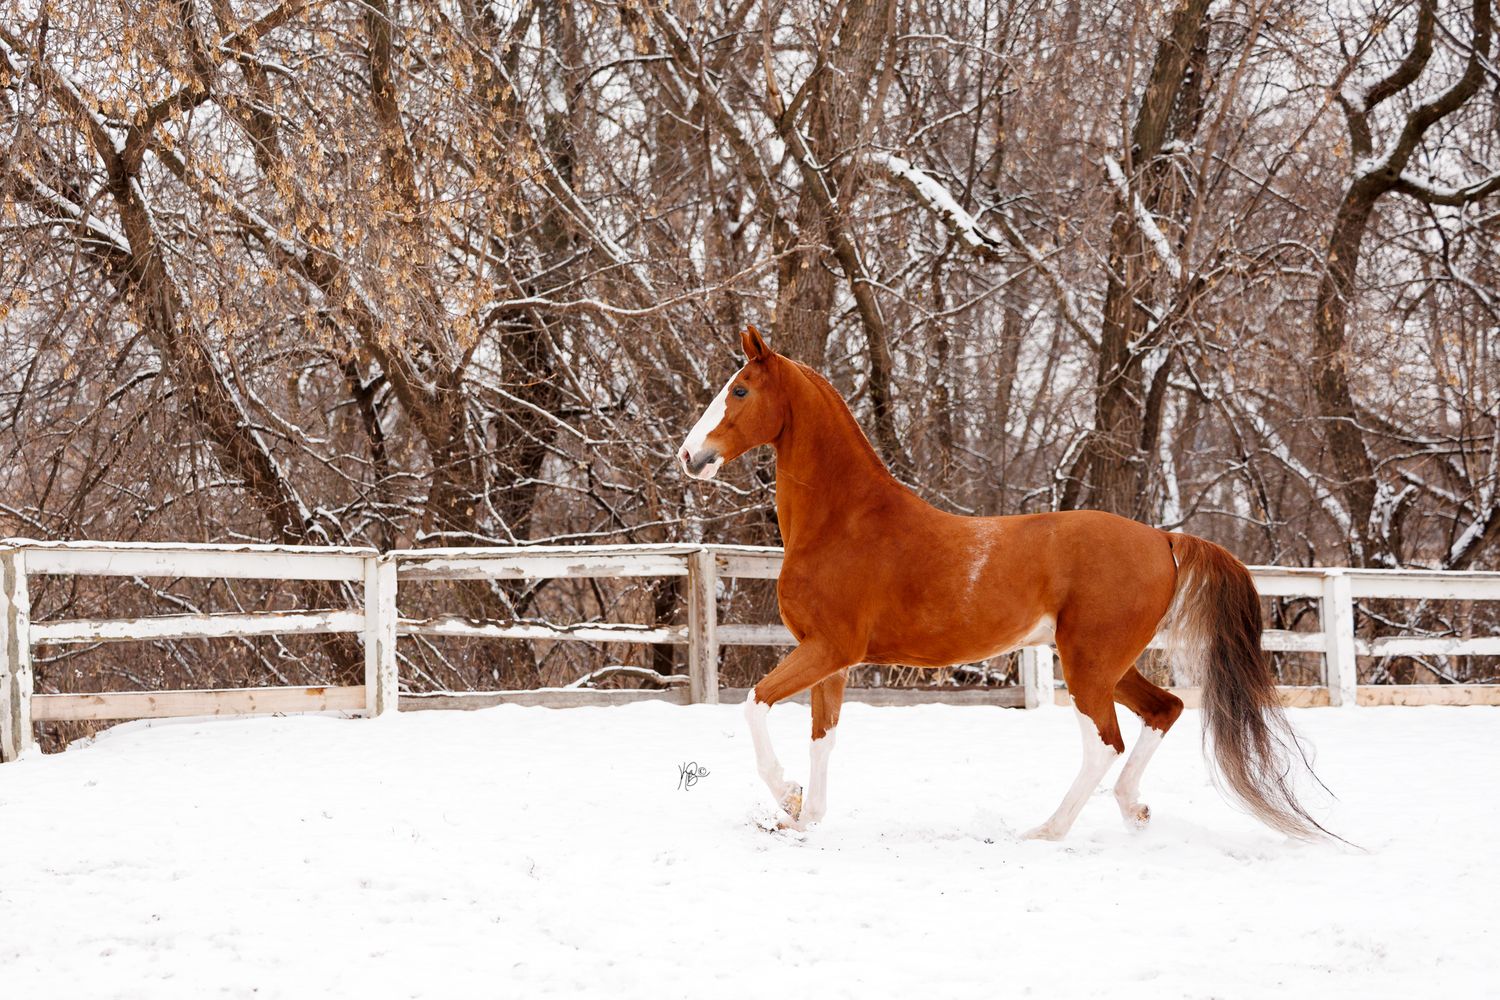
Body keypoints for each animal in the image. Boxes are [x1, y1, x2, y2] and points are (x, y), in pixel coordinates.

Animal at [678, 326, 1333, 841]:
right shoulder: (830, 662)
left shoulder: (828, 649)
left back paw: (1046, 830)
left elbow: (754, 704)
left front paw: (785, 796)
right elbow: (824, 738)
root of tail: (1162, 538)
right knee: (1165, 709)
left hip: (1088, 663)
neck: (844, 522)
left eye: (740, 390)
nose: (689, 456)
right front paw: (801, 816)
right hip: (1110, 663)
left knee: (1105, 742)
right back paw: (1134, 811)